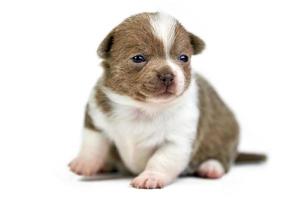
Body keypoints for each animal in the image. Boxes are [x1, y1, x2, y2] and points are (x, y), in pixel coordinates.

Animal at [69, 12, 266, 189]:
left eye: (183, 58)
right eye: (138, 58)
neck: (143, 108)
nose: (167, 75)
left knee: (222, 158)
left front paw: (151, 176)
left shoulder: (177, 142)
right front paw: (85, 163)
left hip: (225, 135)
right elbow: (92, 144)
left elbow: (161, 160)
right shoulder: (96, 120)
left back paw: (211, 167)